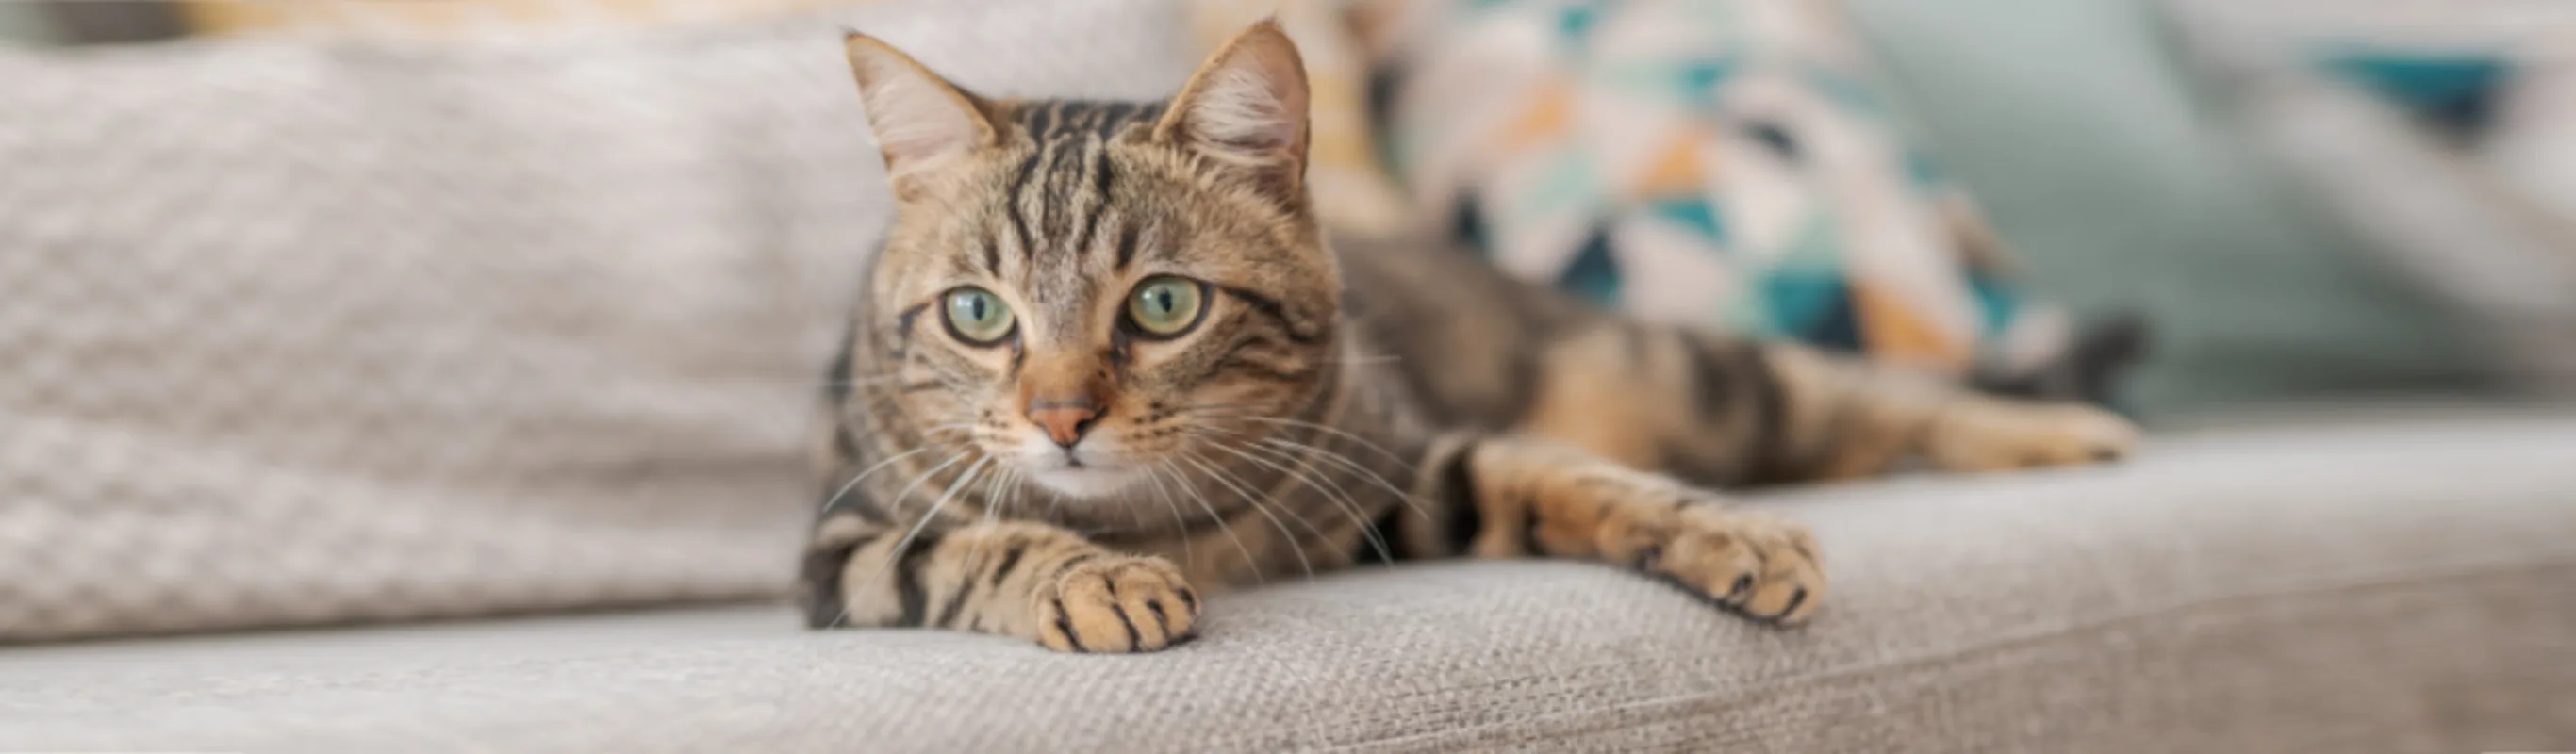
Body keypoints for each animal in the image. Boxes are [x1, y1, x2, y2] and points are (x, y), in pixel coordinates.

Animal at [803, 20, 2133, 648]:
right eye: (979, 313)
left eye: (1163, 304)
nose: (1060, 416)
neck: (1160, 516)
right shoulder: (847, 546)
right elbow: (983, 546)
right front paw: (1091, 578)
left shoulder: (1404, 467)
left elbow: (1561, 472)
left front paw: (1724, 532)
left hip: (1689, 373)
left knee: (1865, 394)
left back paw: (2058, 430)